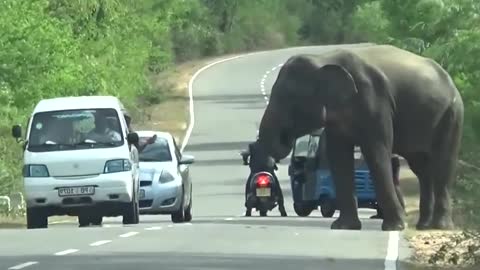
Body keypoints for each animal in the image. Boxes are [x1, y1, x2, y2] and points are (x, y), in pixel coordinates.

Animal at [258, 43, 464, 230]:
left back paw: (440, 226)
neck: (323, 59)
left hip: (451, 114)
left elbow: (376, 153)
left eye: (289, 98)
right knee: (422, 168)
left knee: (442, 164)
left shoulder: (375, 102)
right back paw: (424, 225)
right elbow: (338, 156)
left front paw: (394, 227)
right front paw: (343, 227)